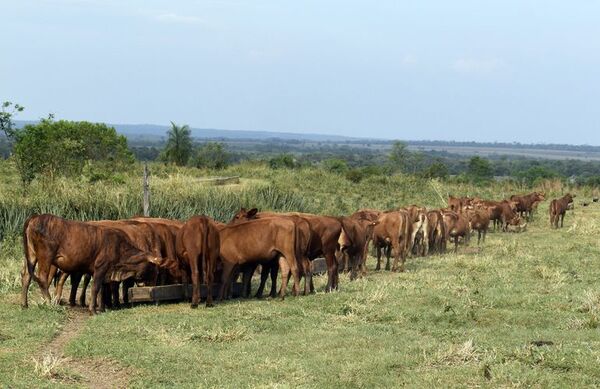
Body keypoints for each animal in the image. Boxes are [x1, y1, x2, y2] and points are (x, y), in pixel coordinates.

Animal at [21, 214, 176, 314]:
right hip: (46, 257)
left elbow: (102, 289)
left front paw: (101, 307)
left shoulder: (104, 272)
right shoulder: (101, 268)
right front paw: (93, 310)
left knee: (26, 276)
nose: (152, 285)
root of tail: (35, 217)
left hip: (31, 256)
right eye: (154, 269)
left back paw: (24, 304)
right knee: (42, 278)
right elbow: (95, 288)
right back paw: (50, 302)